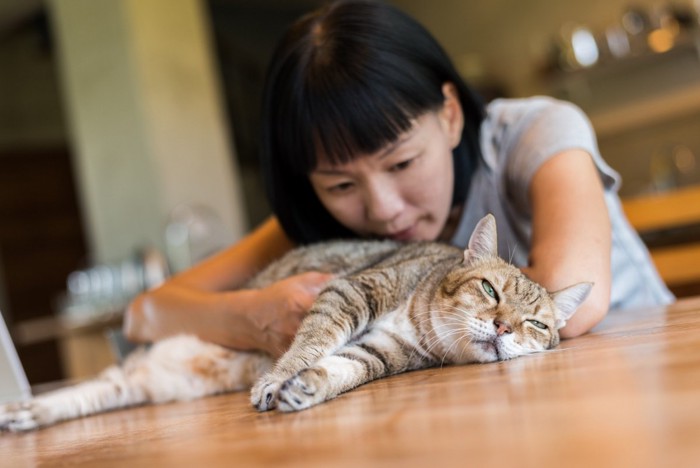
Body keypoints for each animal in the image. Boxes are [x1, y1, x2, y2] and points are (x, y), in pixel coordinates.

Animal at [0, 216, 592, 432]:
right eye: (490, 290)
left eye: (537, 325)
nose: (505, 328)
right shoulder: (354, 292)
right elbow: (312, 339)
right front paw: (277, 377)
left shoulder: (383, 352)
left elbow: (342, 367)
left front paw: (302, 389)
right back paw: (25, 408)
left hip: (149, 384)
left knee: (101, 392)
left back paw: (32, 413)